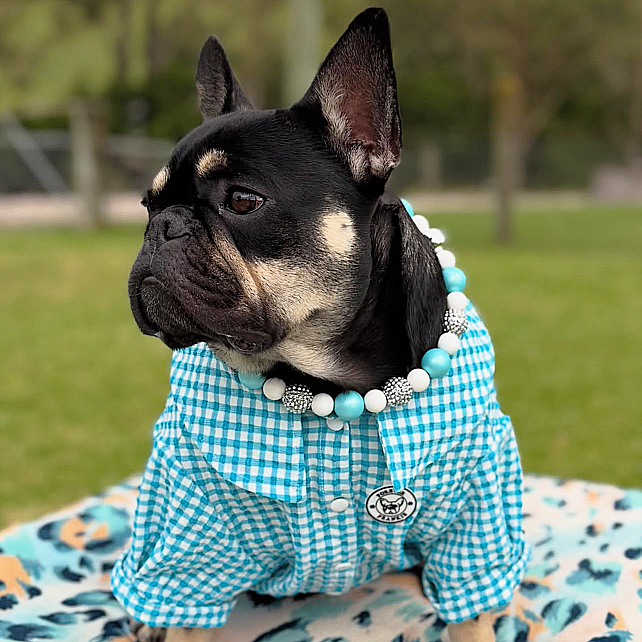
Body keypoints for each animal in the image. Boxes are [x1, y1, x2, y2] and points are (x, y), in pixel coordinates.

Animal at [114, 6, 524, 640]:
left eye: (242, 200)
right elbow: (182, 606)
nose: (164, 226)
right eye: (148, 206)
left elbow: (474, 609)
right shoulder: (192, 533)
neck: (333, 384)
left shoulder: (476, 519)